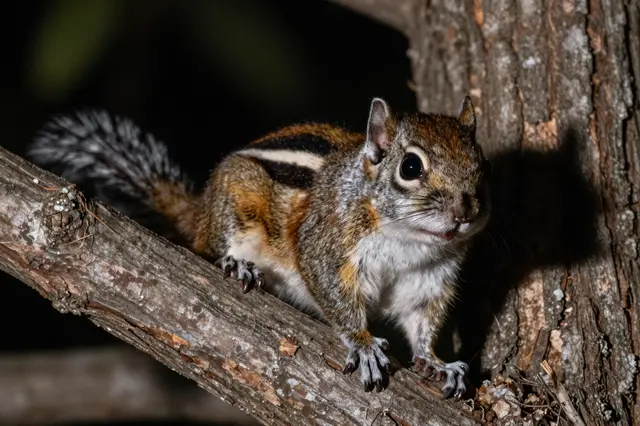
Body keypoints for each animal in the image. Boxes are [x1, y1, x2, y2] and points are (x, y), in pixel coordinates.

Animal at [28, 96, 491, 398]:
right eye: (410, 167)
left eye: (482, 166)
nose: (464, 212)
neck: (412, 241)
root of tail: (200, 211)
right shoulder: (328, 242)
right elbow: (336, 296)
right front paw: (362, 343)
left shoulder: (428, 281)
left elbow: (422, 324)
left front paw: (436, 362)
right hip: (237, 202)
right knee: (212, 244)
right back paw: (237, 264)